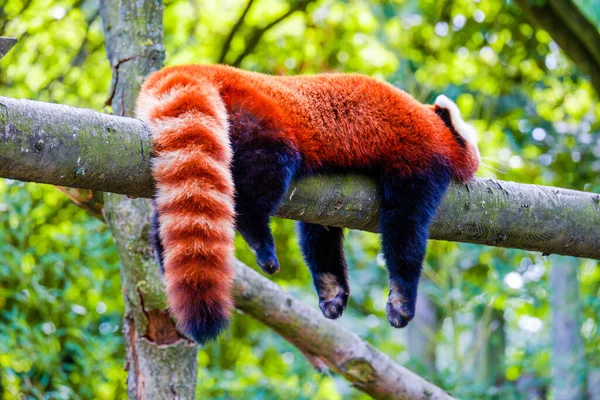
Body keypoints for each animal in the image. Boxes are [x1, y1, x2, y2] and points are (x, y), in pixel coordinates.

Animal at [135, 64, 478, 342]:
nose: (480, 162)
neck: (433, 125)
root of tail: (200, 68)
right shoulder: (418, 159)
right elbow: (405, 233)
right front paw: (401, 302)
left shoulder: (328, 201)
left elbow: (320, 235)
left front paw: (331, 290)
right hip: (258, 120)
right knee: (260, 179)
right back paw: (260, 240)